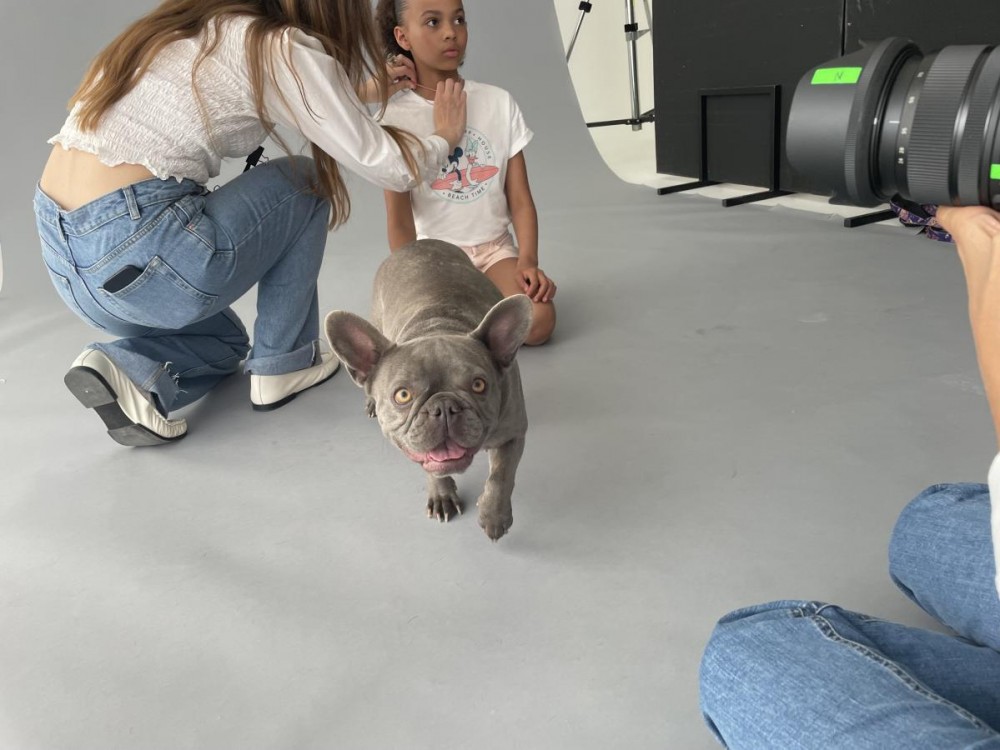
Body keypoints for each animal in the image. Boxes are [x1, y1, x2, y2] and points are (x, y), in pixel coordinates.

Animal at [324, 239, 532, 541]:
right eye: (402, 395)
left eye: (479, 385)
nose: (444, 406)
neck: (439, 326)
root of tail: (418, 243)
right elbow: (433, 469)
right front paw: (442, 496)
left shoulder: (513, 433)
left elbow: (501, 476)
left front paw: (494, 516)